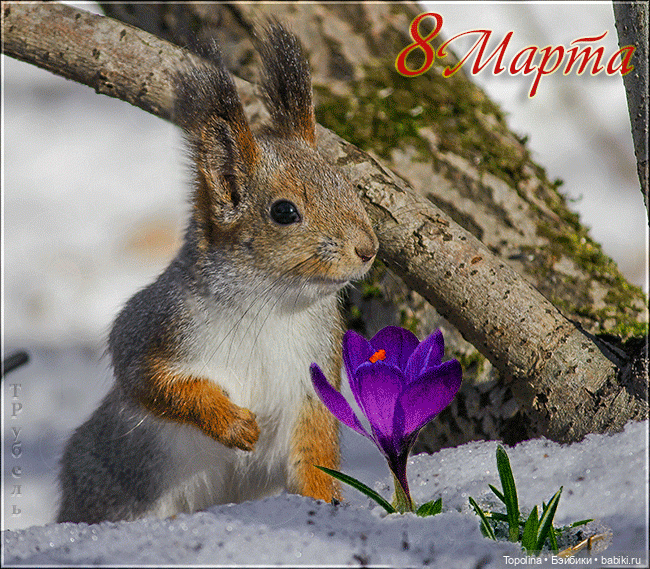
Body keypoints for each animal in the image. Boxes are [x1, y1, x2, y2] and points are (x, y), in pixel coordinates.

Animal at [56, 23, 378, 524]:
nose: (368, 249)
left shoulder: (313, 376)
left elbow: (315, 447)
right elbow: (155, 383)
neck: (271, 303)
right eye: (284, 212)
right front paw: (234, 424)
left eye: (349, 185)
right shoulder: (156, 327)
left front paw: (326, 501)